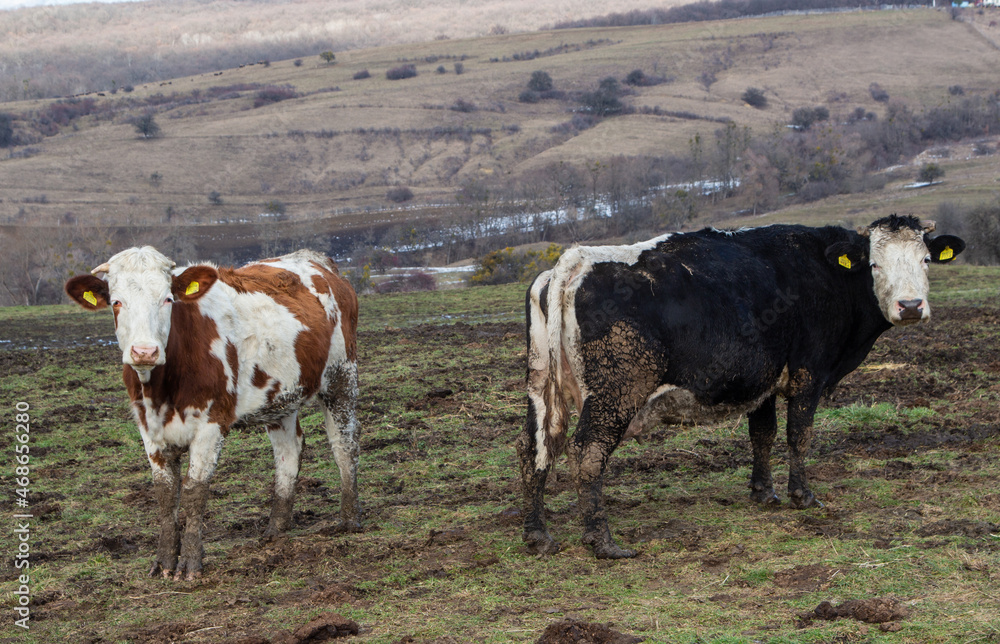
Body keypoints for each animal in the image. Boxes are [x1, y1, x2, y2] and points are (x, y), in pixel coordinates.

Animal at [63, 245, 360, 580]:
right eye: (116, 301)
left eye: (167, 299)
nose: (144, 351)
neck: (162, 390)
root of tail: (316, 260)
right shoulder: (148, 428)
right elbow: (165, 493)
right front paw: (164, 562)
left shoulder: (211, 422)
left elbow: (195, 490)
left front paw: (190, 564)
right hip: (280, 397)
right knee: (288, 451)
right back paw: (276, 529)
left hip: (341, 376)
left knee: (344, 444)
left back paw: (349, 519)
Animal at [520, 216, 964, 560]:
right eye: (874, 263)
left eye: (925, 259)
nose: (911, 306)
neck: (824, 272)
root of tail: (576, 261)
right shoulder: (808, 375)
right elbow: (798, 436)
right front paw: (802, 496)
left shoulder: (762, 382)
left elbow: (762, 435)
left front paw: (763, 492)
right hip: (616, 394)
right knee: (587, 453)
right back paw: (603, 542)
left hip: (542, 389)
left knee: (535, 450)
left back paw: (538, 536)